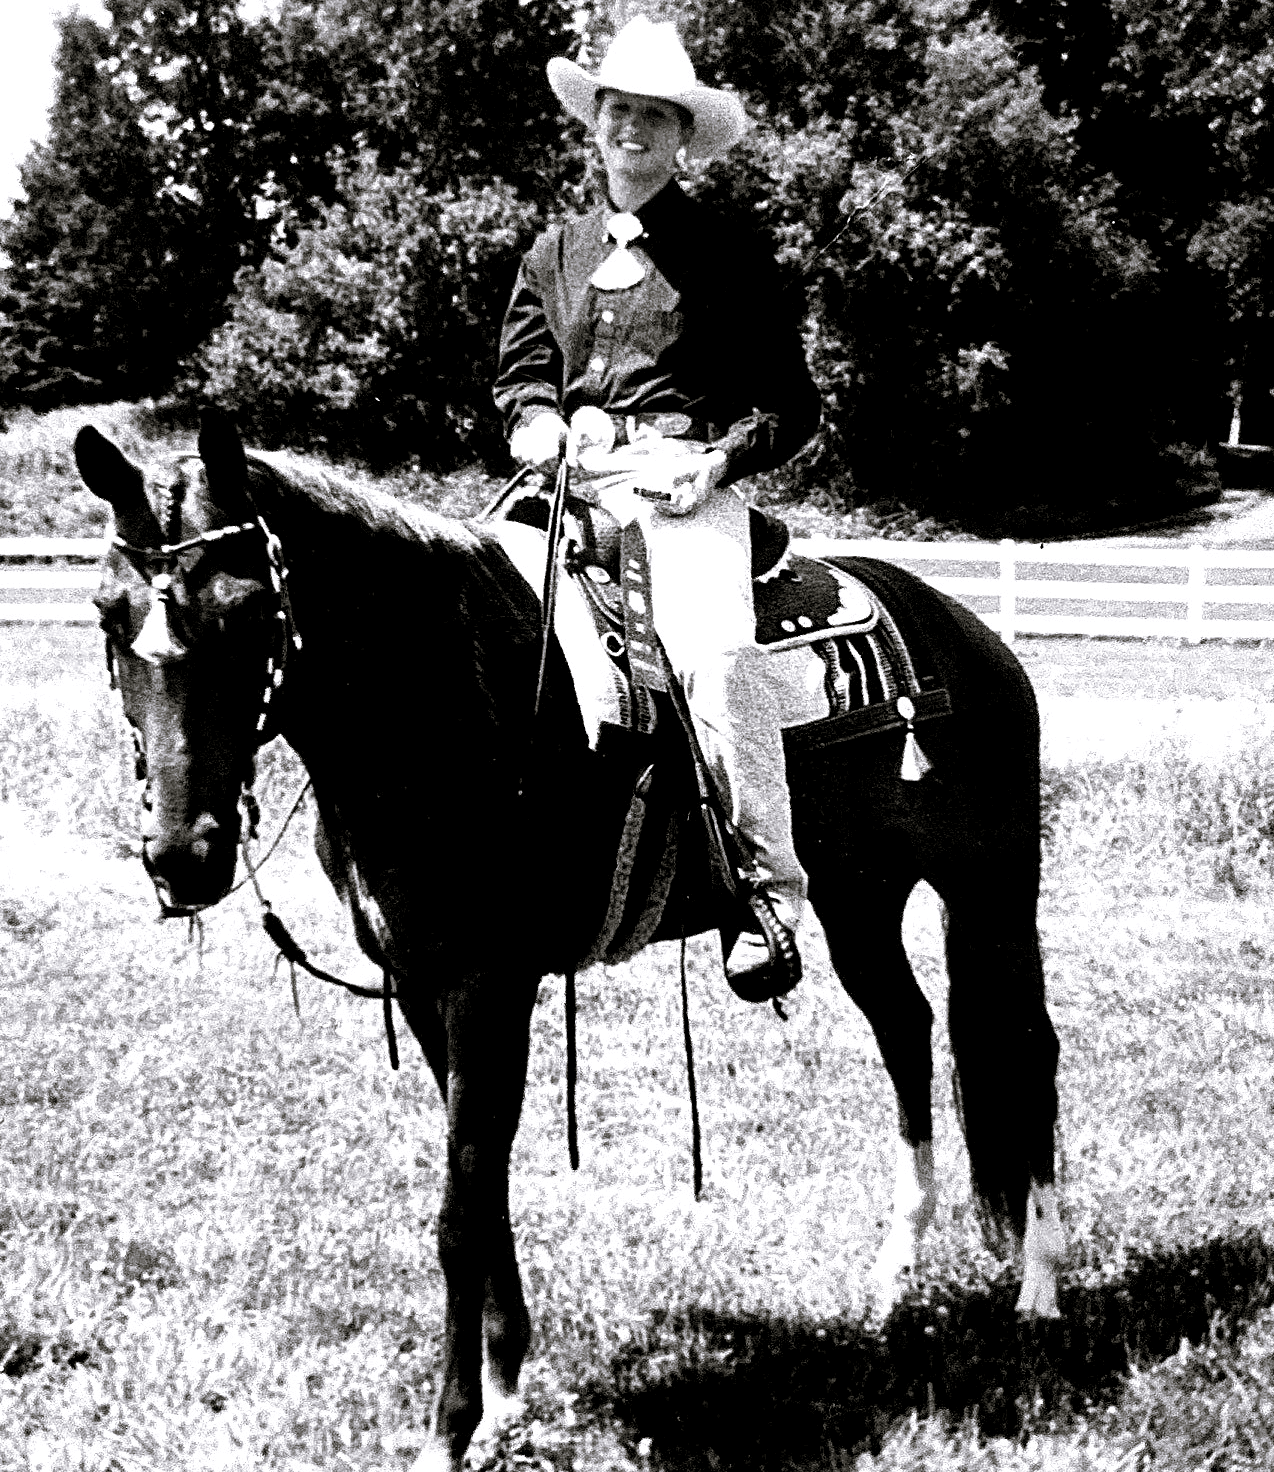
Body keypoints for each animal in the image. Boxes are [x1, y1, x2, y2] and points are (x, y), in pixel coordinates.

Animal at [74, 411, 1063, 1472]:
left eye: (250, 611)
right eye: (106, 613)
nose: (184, 855)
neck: (450, 697)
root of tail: (966, 629)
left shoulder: (489, 984)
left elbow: (462, 1208)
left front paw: (451, 1428)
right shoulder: (423, 985)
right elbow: (486, 1184)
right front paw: (506, 1387)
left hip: (993, 885)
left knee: (1026, 1048)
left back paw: (1040, 1288)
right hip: (858, 902)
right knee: (909, 1035)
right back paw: (894, 1277)